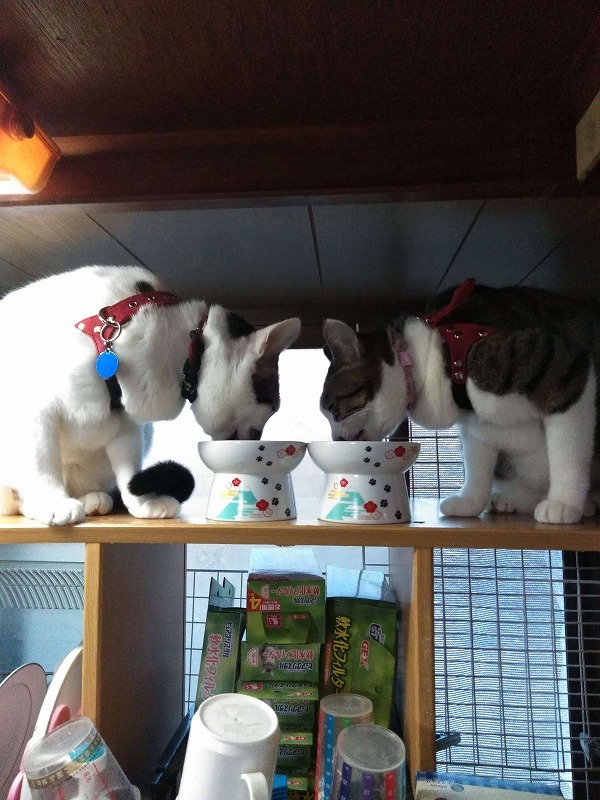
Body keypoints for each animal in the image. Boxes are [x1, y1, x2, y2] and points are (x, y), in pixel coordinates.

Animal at [0, 265, 300, 525]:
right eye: (273, 407)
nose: (258, 440)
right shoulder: (35, 413)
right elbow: (43, 463)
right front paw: (53, 501)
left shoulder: (127, 426)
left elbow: (129, 470)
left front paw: (142, 503)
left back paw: (90, 499)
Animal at [320, 278, 600, 524]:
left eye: (333, 409)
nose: (335, 439)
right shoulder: (475, 426)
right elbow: (477, 465)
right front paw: (470, 503)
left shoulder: (562, 370)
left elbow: (567, 451)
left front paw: (563, 504)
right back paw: (505, 499)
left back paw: (583, 504)